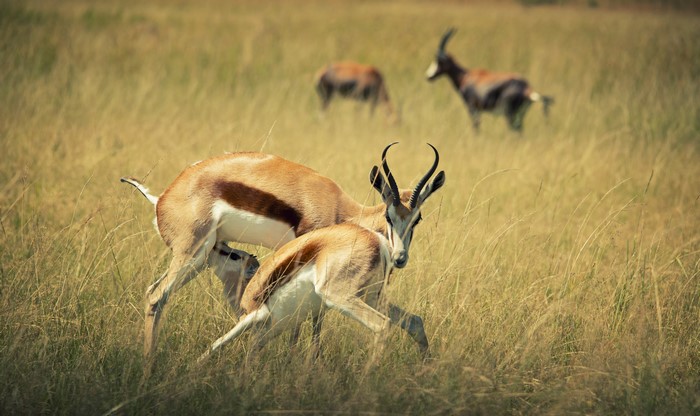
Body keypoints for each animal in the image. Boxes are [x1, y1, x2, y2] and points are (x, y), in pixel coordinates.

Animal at [121, 144, 443, 359]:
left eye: (417, 219)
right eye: (389, 215)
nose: (400, 259)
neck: (343, 210)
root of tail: (162, 198)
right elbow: (312, 320)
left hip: (200, 259)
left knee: (155, 295)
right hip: (191, 254)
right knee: (156, 296)